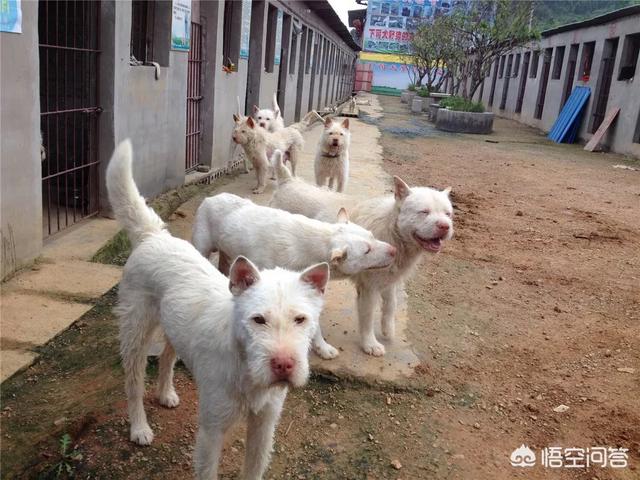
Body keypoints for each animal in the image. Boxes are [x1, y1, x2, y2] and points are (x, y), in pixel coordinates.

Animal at [107, 140, 328, 480]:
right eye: (258, 320)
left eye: (301, 319)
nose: (284, 365)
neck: (244, 364)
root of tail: (153, 236)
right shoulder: (211, 430)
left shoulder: (264, 426)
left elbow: (254, 470)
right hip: (136, 333)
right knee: (133, 383)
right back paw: (139, 427)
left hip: (173, 327)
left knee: (168, 358)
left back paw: (165, 394)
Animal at [270, 172, 456, 356]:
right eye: (424, 212)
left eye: (448, 214)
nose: (445, 226)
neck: (392, 231)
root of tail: (288, 180)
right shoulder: (369, 289)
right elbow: (367, 318)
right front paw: (370, 344)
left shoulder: (390, 280)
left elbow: (391, 305)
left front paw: (388, 328)